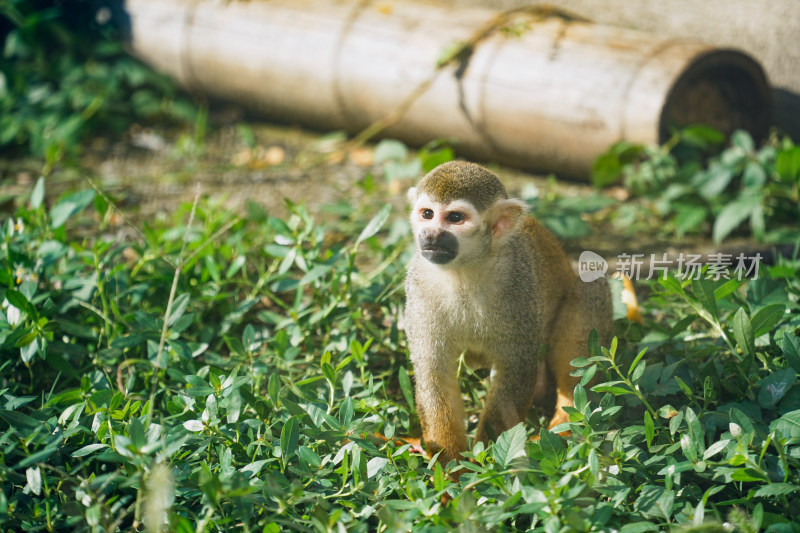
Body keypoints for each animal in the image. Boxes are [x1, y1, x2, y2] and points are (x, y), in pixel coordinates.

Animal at [406, 161, 612, 466]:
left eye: (455, 217)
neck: (464, 271)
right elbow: (434, 376)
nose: (430, 235)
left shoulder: (518, 284)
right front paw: (452, 467)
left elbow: (516, 371)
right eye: (427, 214)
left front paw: (487, 464)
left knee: (591, 283)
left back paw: (567, 421)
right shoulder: (418, 284)